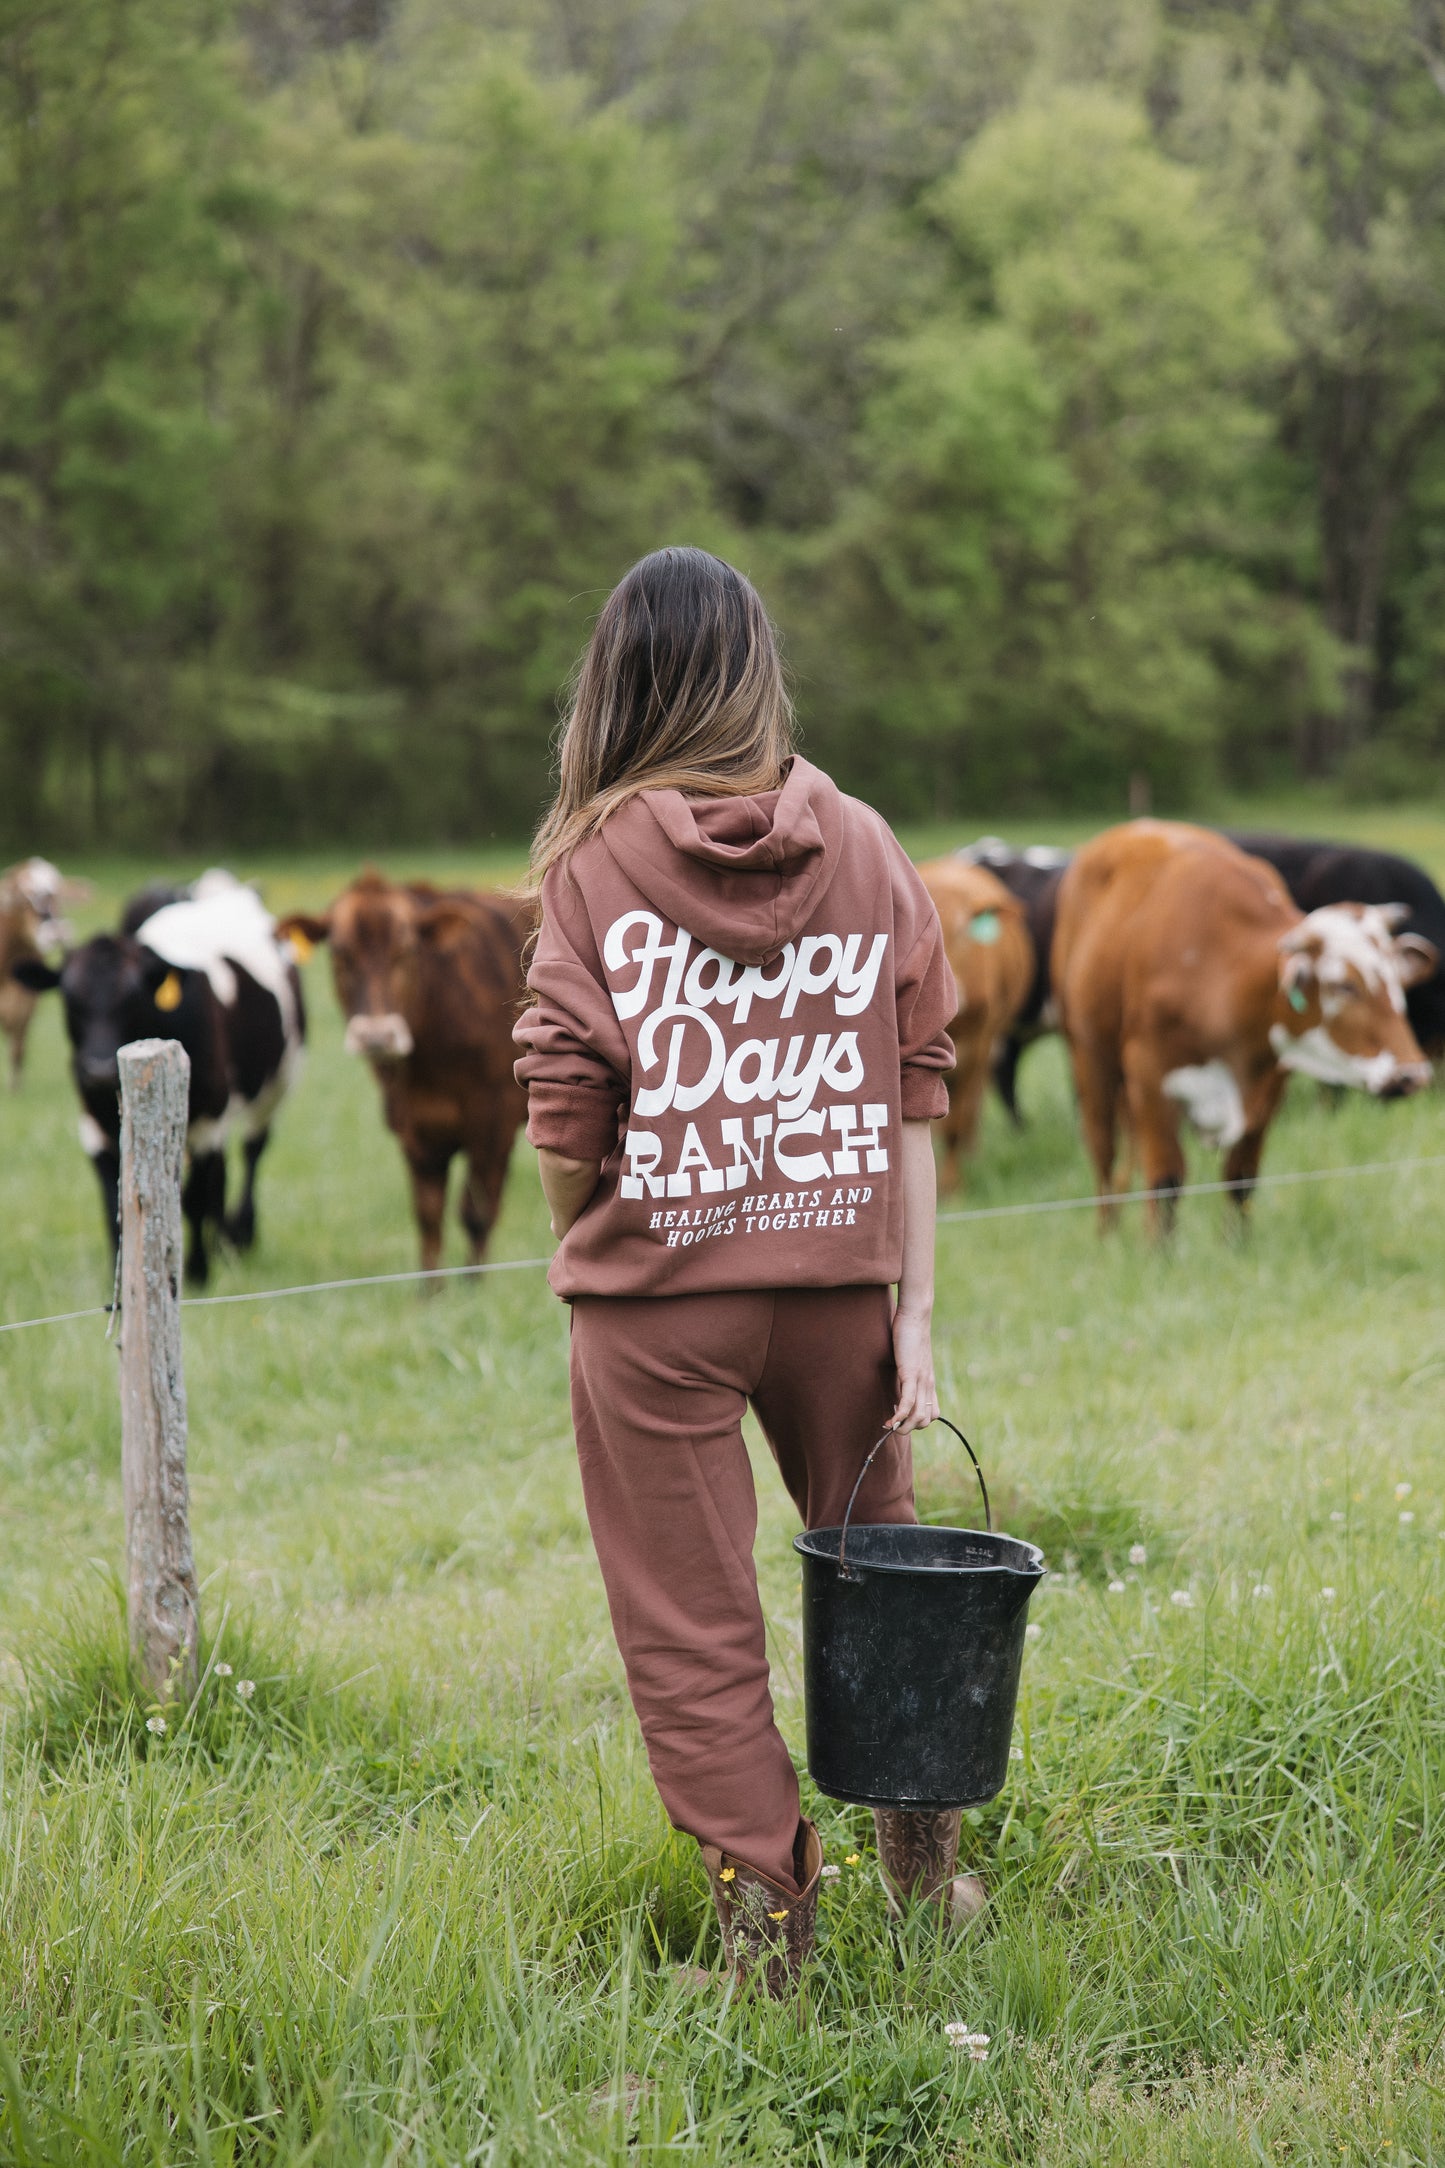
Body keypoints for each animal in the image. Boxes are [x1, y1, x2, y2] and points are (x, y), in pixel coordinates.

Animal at [11, 875, 307, 1283]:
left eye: (133, 997)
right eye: (69, 999)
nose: (99, 1069)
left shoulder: (208, 1119)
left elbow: (194, 1198)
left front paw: (197, 1271)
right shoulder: (94, 1125)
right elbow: (113, 1204)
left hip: (276, 1084)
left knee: (251, 1152)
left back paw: (238, 1235)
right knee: (220, 1171)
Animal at [279, 862, 535, 1266]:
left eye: (405, 950)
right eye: (340, 953)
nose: (376, 1035)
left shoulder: (495, 1121)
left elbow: (477, 1214)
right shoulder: (414, 1127)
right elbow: (428, 1218)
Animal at [1052, 823, 1438, 1240]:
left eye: (1396, 981)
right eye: (1343, 986)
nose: (1412, 1074)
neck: (1223, 976)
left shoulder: (1268, 1089)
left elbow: (1241, 1180)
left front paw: (1236, 1245)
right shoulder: (1151, 1079)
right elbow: (1166, 1181)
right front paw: (1158, 1250)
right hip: (1089, 1056)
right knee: (1103, 1152)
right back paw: (1107, 1233)